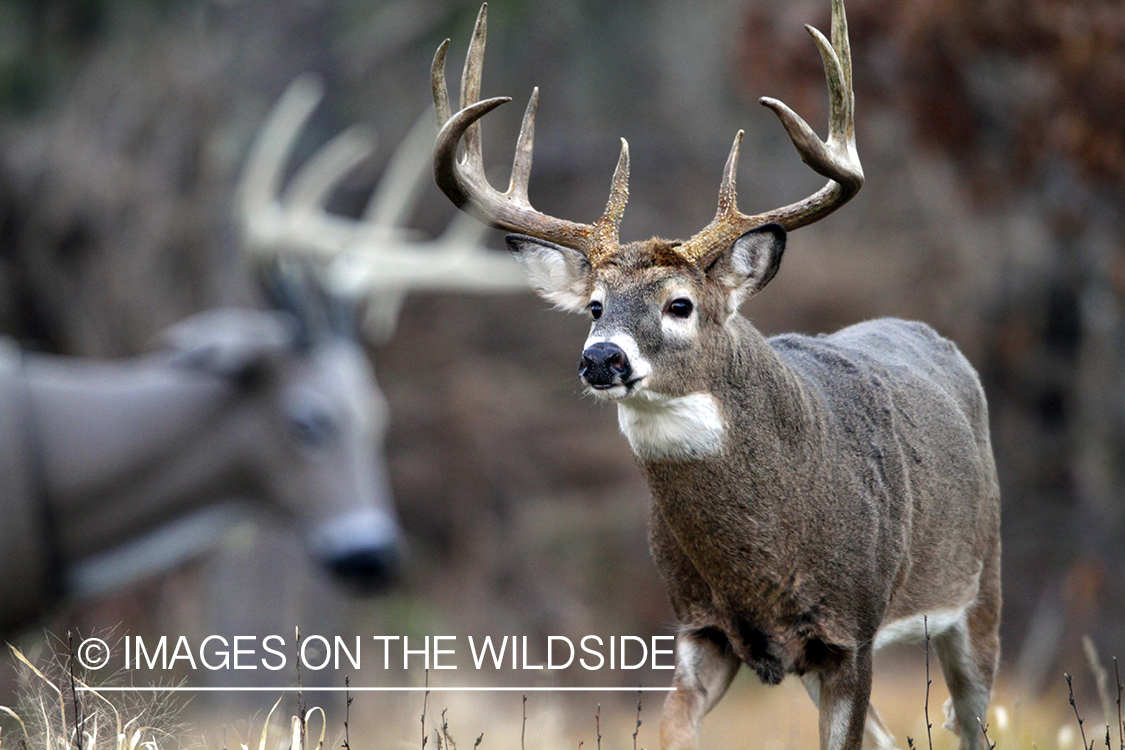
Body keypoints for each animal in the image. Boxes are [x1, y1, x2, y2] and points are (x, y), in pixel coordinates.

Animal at [432, 4, 1003, 750]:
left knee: (973, 718)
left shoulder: (852, 629)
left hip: (981, 586)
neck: (761, 559)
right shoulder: (698, 626)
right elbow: (670, 729)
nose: (601, 359)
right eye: (594, 306)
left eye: (680, 304)